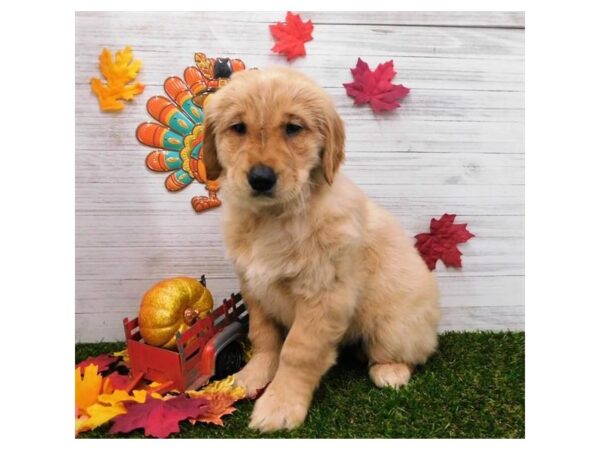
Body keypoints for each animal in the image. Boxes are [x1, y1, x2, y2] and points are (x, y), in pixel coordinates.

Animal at [202, 67, 440, 432]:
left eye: (293, 128)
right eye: (238, 128)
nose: (261, 178)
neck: (274, 218)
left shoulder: (323, 295)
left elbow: (297, 352)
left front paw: (280, 404)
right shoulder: (254, 289)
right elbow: (263, 337)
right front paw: (252, 376)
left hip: (394, 326)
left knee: (410, 352)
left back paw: (390, 370)